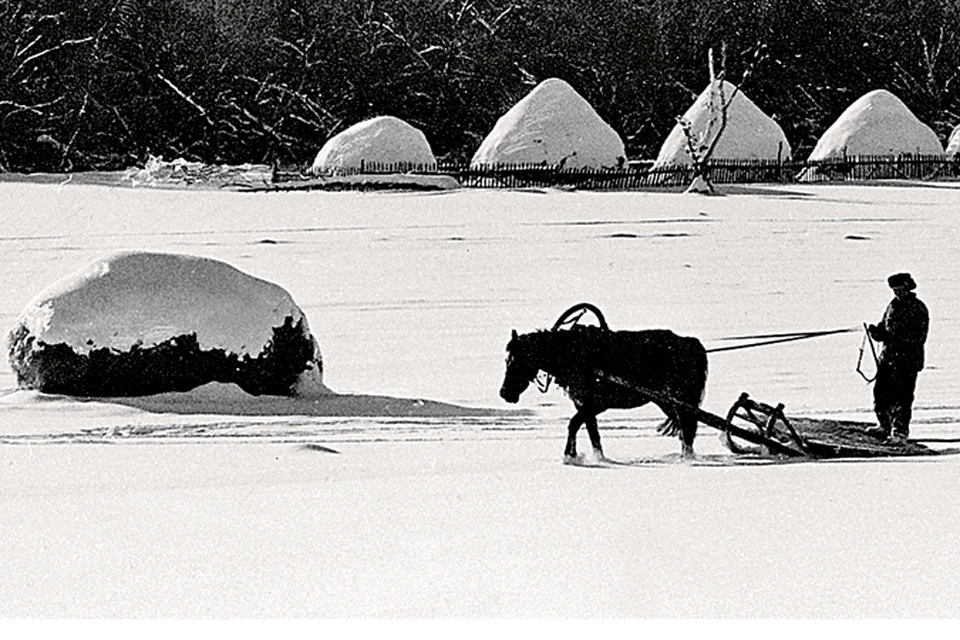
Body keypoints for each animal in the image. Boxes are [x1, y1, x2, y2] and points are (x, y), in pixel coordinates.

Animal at [502, 324, 704, 460]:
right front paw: (595, 458)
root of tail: (692, 344)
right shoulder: (585, 406)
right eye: (507, 360)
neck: (573, 355)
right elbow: (593, 434)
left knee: (687, 429)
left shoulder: (596, 404)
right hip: (669, 403)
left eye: (517, 362)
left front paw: (570, 455)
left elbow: (574, 424)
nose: (504, 393)